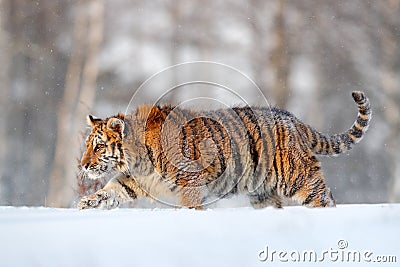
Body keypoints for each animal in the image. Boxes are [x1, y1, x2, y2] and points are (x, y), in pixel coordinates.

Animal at [77, 91, 372, 210]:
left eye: (99, 146)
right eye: (87, 146)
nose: (83, 165)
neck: (135, 160)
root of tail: (292, 118)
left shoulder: (191, 183)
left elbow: (189, 206)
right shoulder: (135, 181)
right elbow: (110, 192)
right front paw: (86, 203)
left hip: (299, 179)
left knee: (325, 199)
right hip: (263, 191)